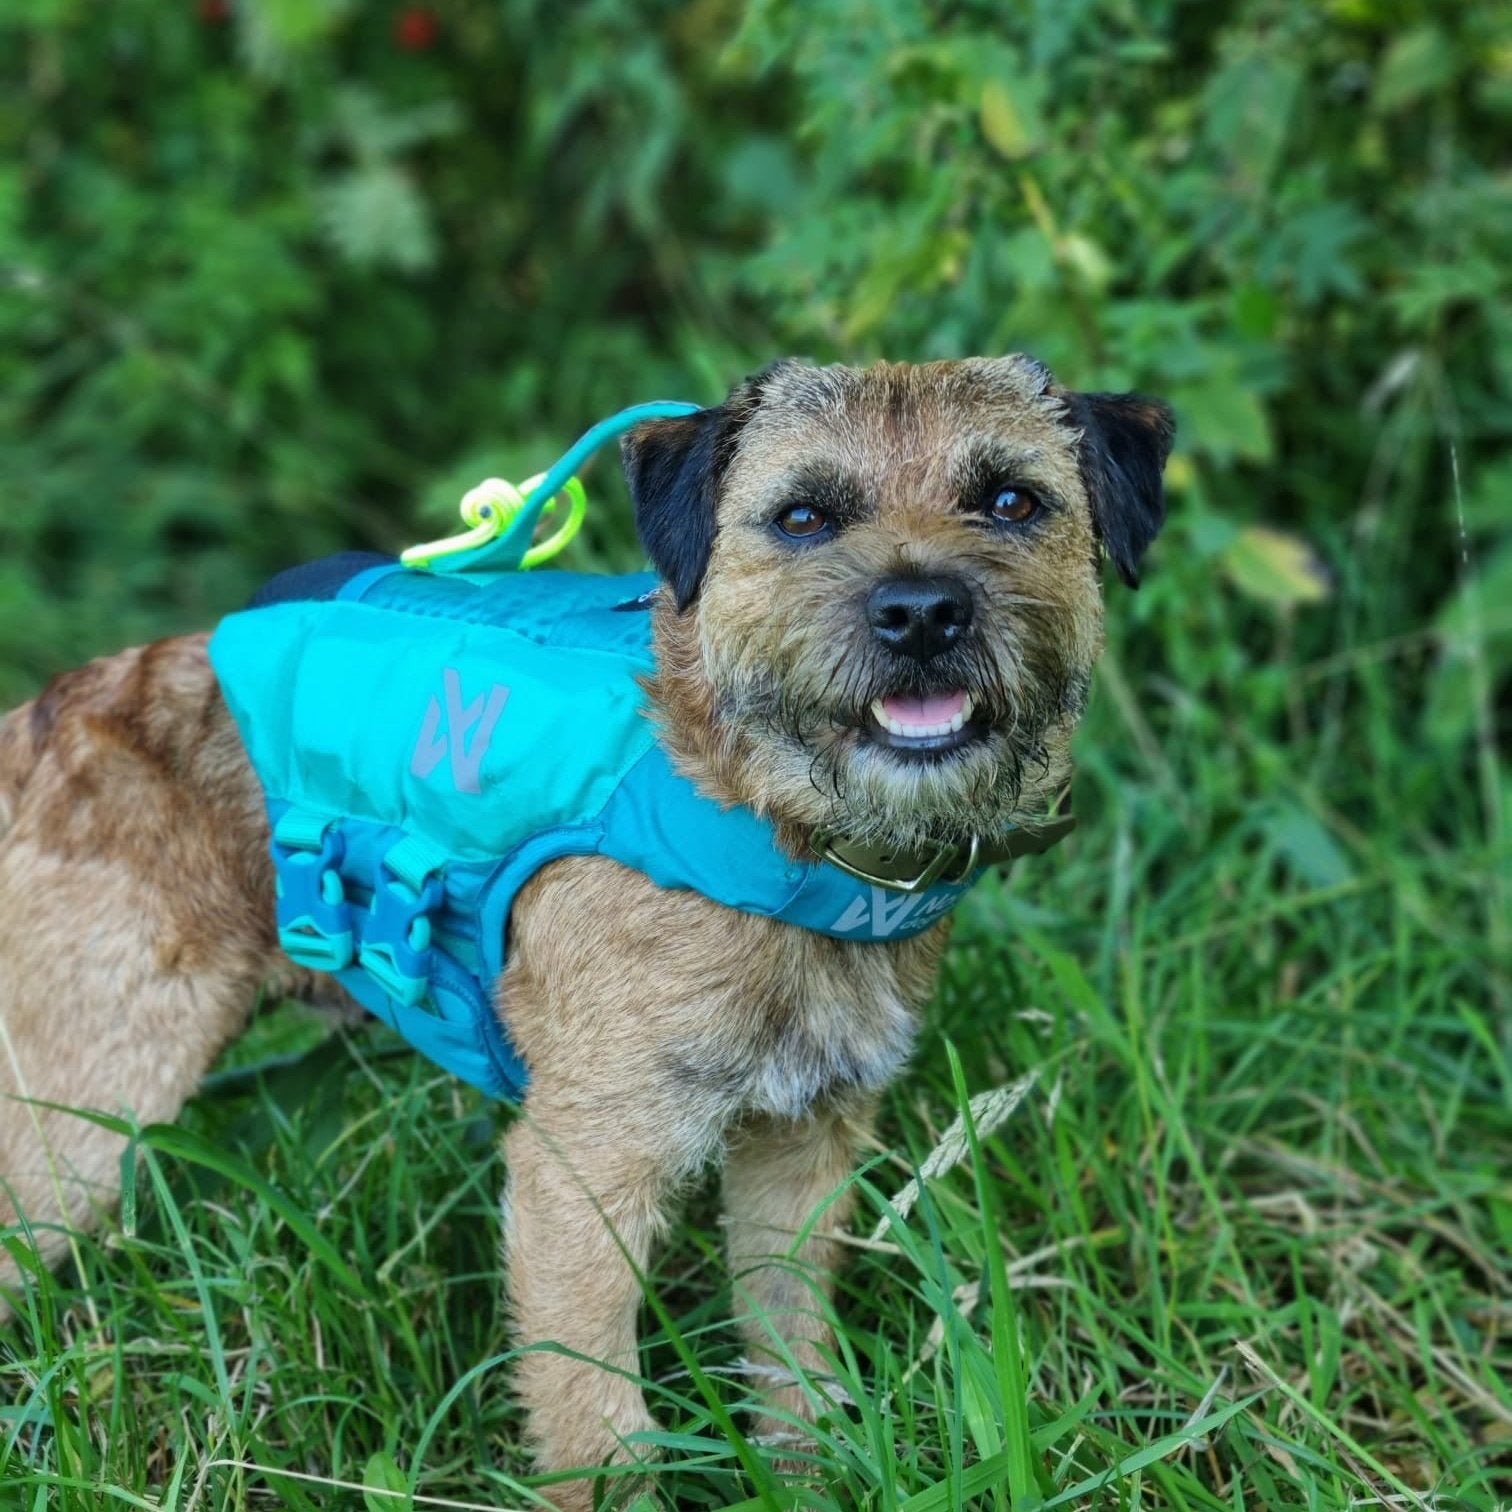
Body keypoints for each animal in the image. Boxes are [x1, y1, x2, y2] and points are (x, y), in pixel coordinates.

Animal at [0, 353, 1173, 1499]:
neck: (760, 820)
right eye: (803, 518)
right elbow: (600, 1426)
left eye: (1012, 501)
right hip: (74, 1134)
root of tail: (40, 723)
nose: (922, 612)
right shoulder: (581, 1179)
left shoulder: (801, 1151)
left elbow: (787, 1349)